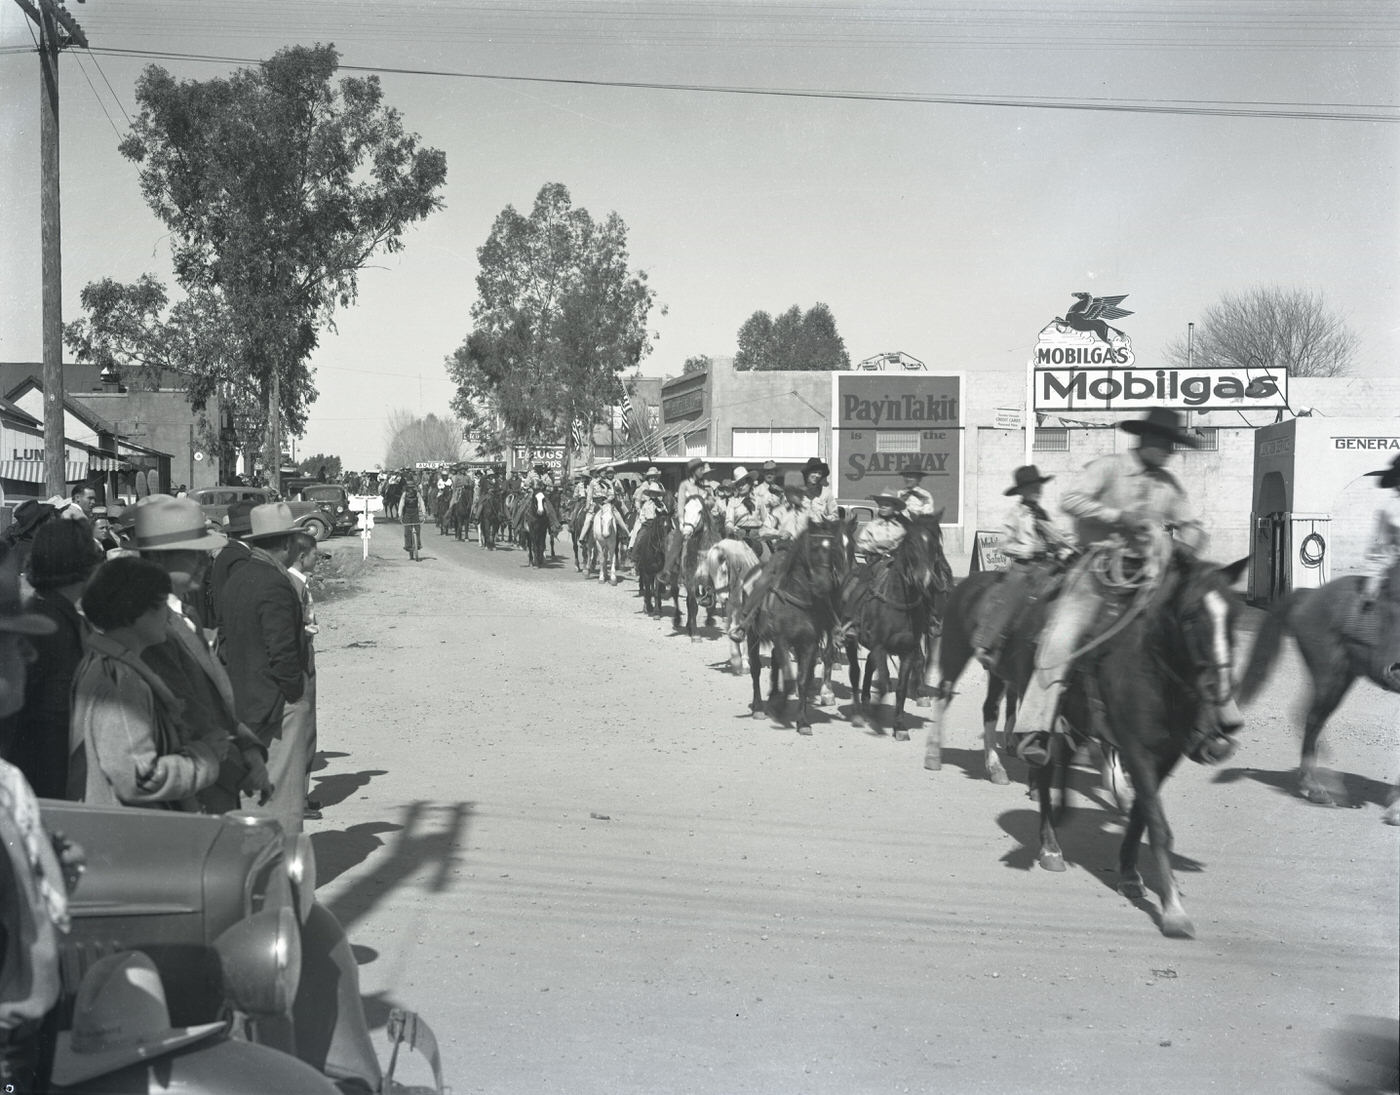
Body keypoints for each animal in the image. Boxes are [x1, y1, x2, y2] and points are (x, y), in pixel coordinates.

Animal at [728, 520, 845, 739]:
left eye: (833, 549)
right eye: (813, 548)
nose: (825, 583)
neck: (797, 598)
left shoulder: (808, 644)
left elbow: (802, 681)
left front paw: (803, 722)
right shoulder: (782, 640)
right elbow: (790, 679)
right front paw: (779, 708)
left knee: (775, 661)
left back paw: (773, 695)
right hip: (753, 635)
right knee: (756, 668)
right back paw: (758, 707)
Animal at [840, 518, 952, 739]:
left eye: (935, 547)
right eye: (911, 545)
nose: (937, 624)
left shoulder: (907, 649)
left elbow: (901, 687)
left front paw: (899, 725)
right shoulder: (880, 647)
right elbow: (883, 683)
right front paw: (877, 715)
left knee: (869, 666)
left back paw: (867, 700)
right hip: (851, 640)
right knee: (856, 671)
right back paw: (857, 713)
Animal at [1030, 554, 1248, 940]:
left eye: (1234, 619)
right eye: (1190, 616)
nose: (1222, 700)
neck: (1155, 676)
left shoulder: (1165, 757)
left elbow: (1140, 814)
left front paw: (1131, 874)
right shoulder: (1136, 750)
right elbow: (1158, 826)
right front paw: (1174, 910)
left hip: (1079, 719)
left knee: (1067, 757)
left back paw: (1064, 808)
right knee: (1043, 772)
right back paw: (1051, 847)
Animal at [1243, 557, 1394, 823]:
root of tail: (1309, 594)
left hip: (1342, 677)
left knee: (1312, 719)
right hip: (1329, 676)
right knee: (1311, 719)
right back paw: (1316, 787)